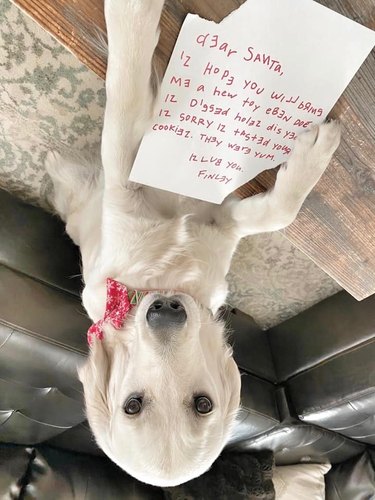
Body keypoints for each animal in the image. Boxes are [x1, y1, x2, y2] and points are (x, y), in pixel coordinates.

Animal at [45, 0, 342, 488]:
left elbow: (278, 212)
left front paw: (310, 159)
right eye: (133, 405)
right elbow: (122, 114)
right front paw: (132, 17)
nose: (165, 313)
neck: (166, 275)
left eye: (202, 404)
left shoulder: (221, 224)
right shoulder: (125, 200)